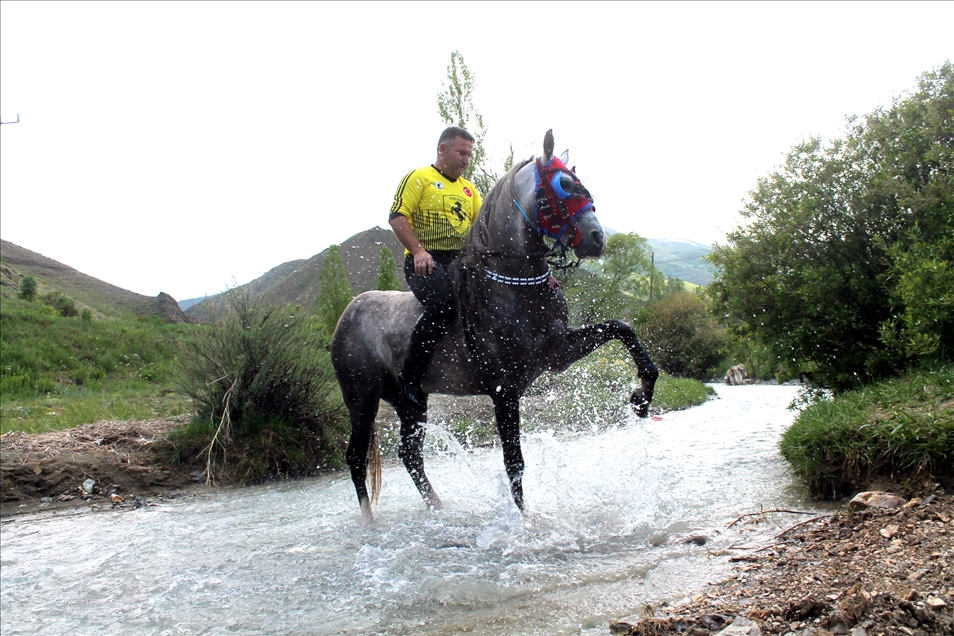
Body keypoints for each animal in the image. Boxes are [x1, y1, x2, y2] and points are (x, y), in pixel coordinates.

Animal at [330, 129, 656, 520]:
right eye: (564, 185)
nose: (596, 238)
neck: (514, 285)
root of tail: (347, 314)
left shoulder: (558, 353)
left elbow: (622, 328)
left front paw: (642, 395)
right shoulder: (504, 390)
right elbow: (514, 463)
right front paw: (524, 522)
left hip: (410, 404)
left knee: (410, 455)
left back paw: (439, 511)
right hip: (361, 398)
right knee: (356, 457)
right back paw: (369, 522)